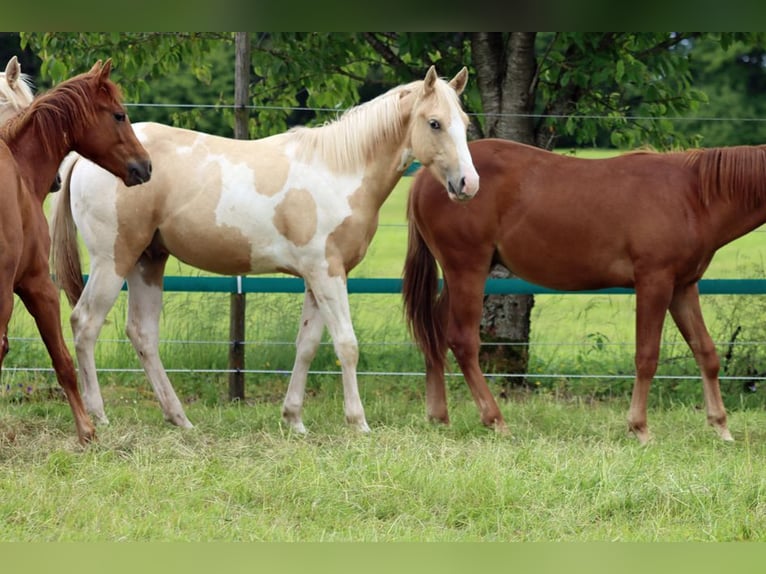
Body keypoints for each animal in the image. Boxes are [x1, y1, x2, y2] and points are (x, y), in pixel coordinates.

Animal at [51, 67, 476, 434]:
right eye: (434, 123)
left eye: (465, 123)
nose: (468, 184)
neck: (337, 171)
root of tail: (83, 157)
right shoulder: (328, 274)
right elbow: (347, 344)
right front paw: (358, 423)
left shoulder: (314, 279)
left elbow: (307, 346)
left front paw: (294, 419)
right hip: (113, 261)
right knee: (85, 323)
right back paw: (99, 415)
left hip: (148, 262)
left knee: (142, 334)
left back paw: (179, 418)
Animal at [402, 138, 766, 446]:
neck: (692, 195)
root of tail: (425, 178)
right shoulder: (655, 282)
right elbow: (647, 356)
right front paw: (640, 428)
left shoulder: (683, 287)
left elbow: (707, 353)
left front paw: (721, 427)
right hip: (468, 270)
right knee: (463, 340)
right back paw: (495, 420)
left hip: (456, 276)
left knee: (434, 332)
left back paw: (438, 416)